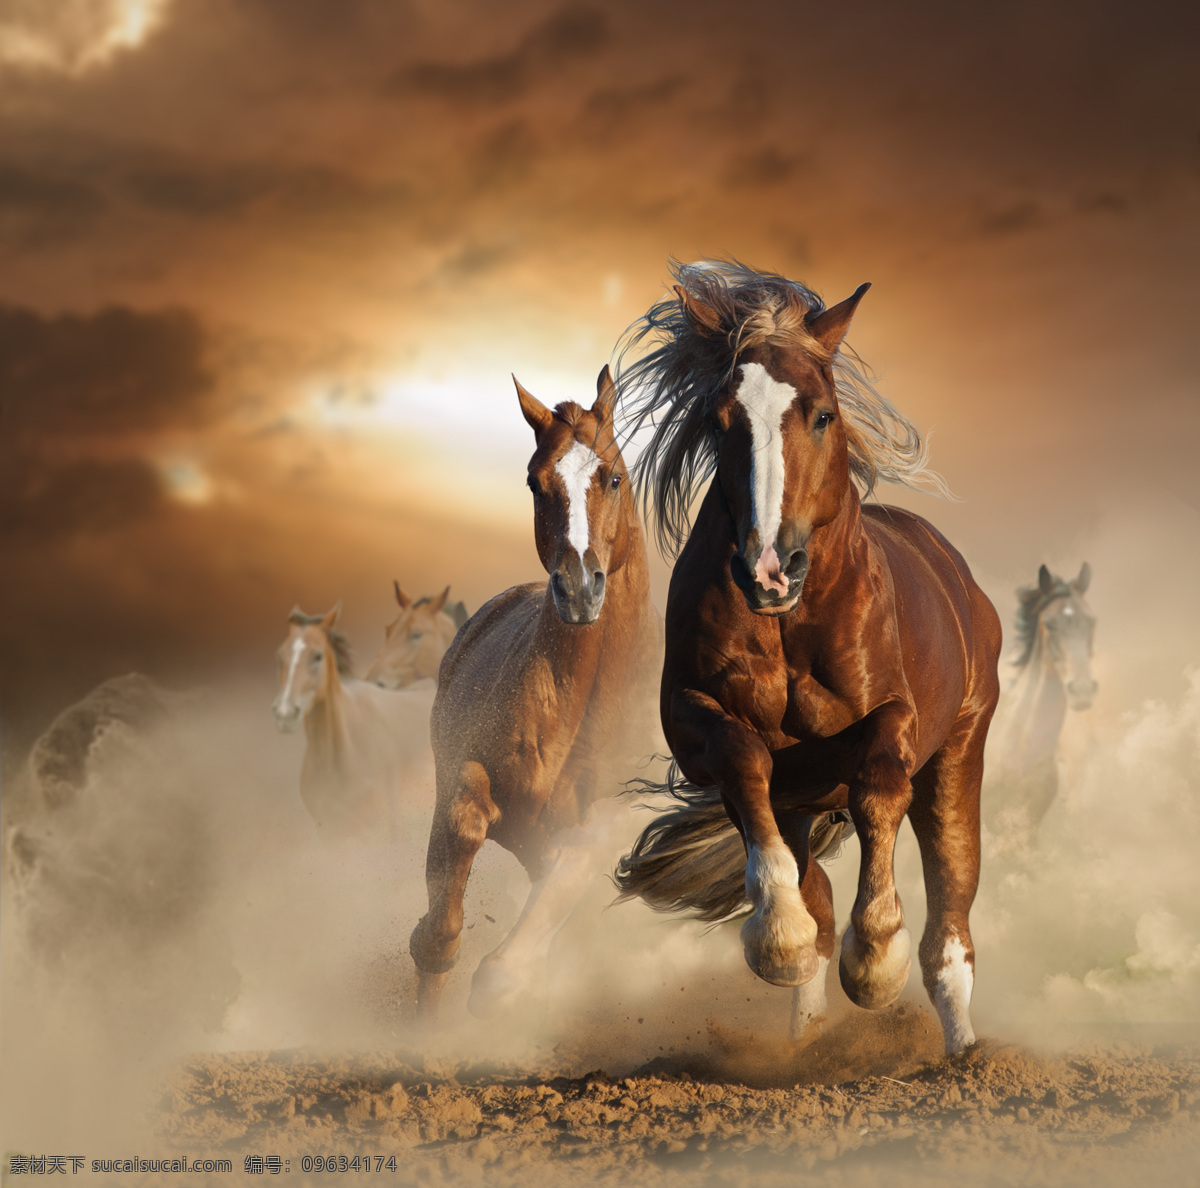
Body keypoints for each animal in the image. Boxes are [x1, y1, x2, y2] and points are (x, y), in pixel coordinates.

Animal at [408, 369, 662, 1022]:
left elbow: (510, 965)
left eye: (613, 476)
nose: (578, 589)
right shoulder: (467, 778)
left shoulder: (602, 828)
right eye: (533, 480)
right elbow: (460, 839)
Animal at [614, 258, 998, 1051]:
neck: (791, 625)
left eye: (821, 414)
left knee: (951, 911)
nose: (769, 569)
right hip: (800, 801)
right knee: (813, 883)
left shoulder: (895, 719)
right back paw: (809, 1029)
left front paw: (874, 959)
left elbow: (880, 783)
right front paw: (779, 938)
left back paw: (962, 1051)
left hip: (960, 752)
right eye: (719, 420)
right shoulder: (695, 721)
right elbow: (743, 761)